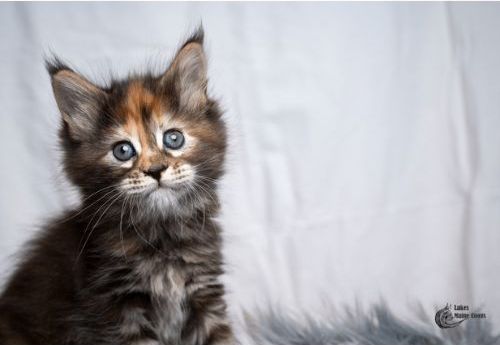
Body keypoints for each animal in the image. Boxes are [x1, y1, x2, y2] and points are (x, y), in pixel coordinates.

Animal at [0, 27, 236, 344]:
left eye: (173, 139)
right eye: (123, 151)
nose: (155, 170)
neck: (161, 236)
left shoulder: (203, 292)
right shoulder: (117, 308)